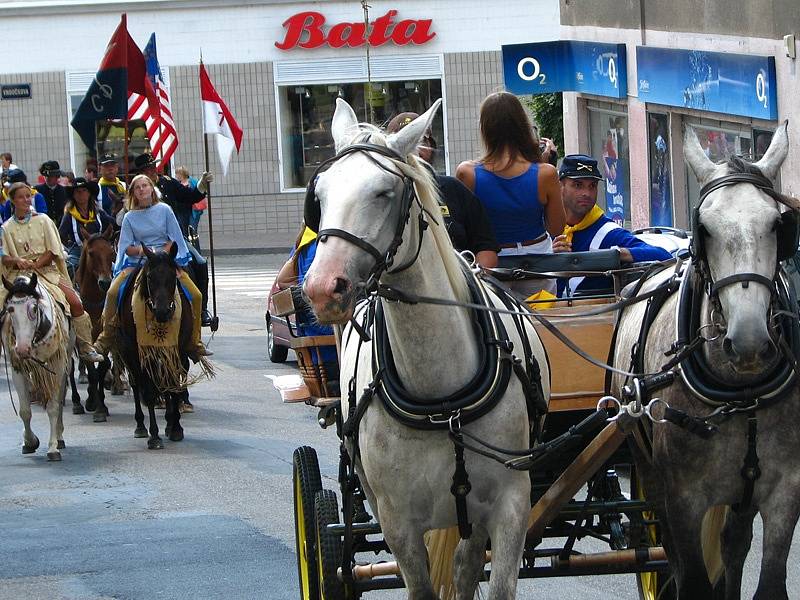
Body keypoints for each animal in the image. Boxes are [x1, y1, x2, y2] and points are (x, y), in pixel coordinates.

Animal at [302, 98, 552, 600]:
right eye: (319, 195)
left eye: (383, 192)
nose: (322, 288)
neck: (441, 398)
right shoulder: (398, 520)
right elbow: (419, 586)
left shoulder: (511, 502)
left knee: (464, 564)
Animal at [612, 123, 800, 600]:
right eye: (705, 229)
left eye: (778, 224)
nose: (748, 342)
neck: (741, 392)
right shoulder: (683, 498)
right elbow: (691, 579)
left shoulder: (785, 490)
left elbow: (769, 583)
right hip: (647, 468)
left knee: (735, 544)